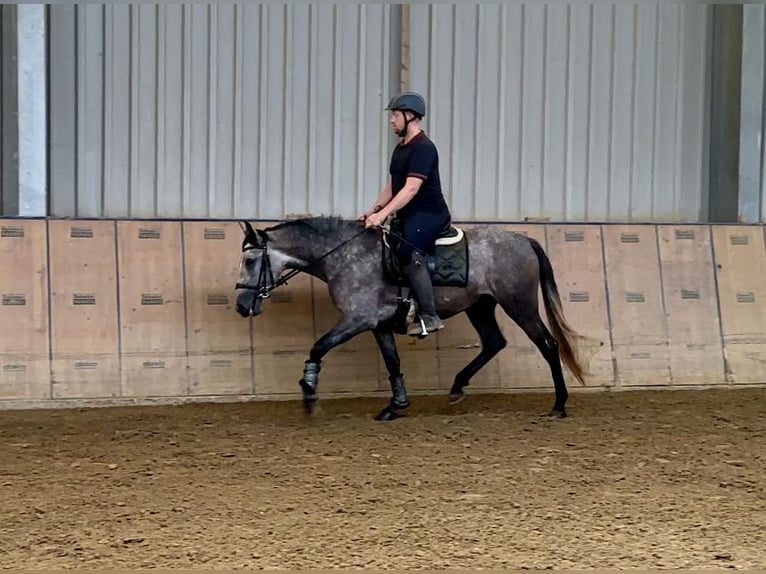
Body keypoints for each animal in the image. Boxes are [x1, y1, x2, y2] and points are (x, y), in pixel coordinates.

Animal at [236, 216, 592, 424]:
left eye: (251, 261)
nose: (241, 306)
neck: (344, 256)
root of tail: (524, 240)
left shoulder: (358, 318)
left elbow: (319, 346)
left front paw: (309, 392)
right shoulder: (378, 325)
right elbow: (392, 362)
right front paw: (396, 406)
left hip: (519, 304)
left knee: (548, 344)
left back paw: (559, 405)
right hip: (480, 306)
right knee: (494, 342)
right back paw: (457, 388)